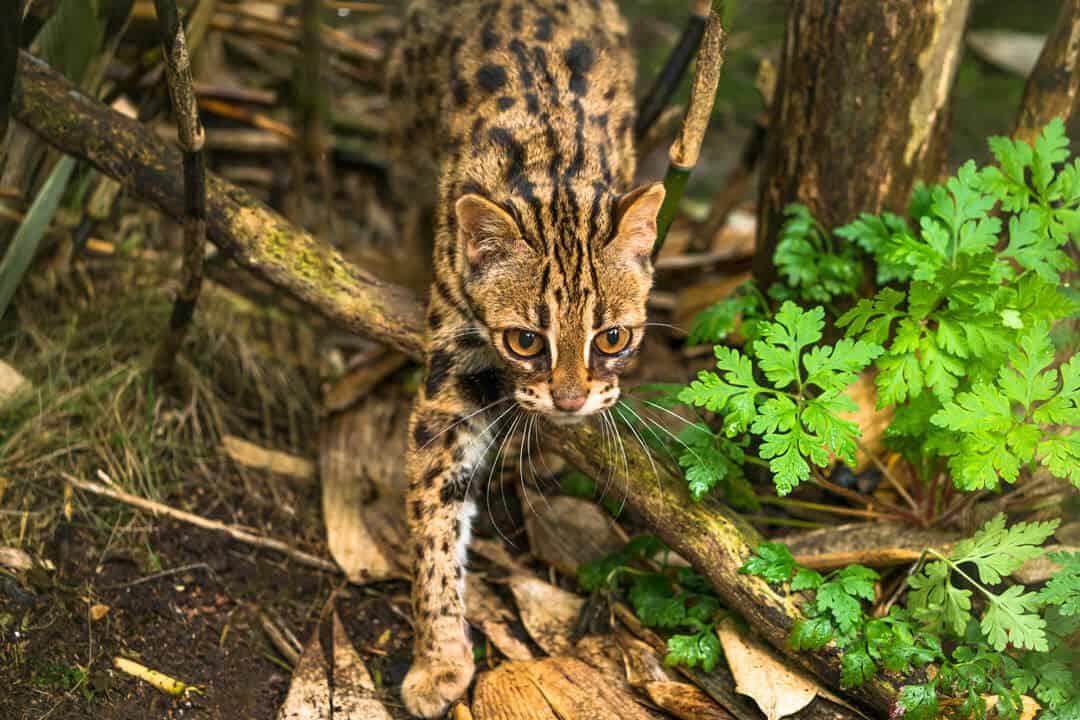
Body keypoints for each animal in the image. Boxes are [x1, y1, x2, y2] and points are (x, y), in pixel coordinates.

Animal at [384, 0, 660, 716]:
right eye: (526, 342)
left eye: (611, 338)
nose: (570, 399)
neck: (554, 177)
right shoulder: (449, 367)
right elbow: (434, 513)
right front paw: (440, 656)